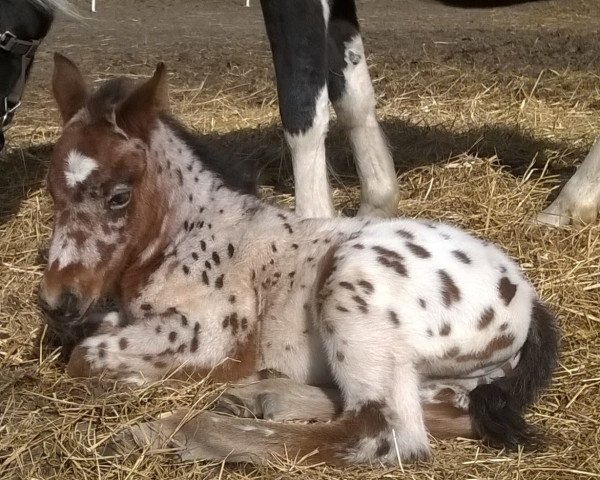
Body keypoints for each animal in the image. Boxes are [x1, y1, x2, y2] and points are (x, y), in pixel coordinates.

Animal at [39, 55, 560, 464]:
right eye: (51, 191)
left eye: (119, 196)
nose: (55, 299)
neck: (191, 233)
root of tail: (528, 299)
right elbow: (85, 334)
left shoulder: (209, 335)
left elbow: (85, 355)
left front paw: (129, 382)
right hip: (448, 374)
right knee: (451, 410)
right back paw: (262, 396)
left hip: (351, 287)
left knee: (385, 432)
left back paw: (181, 432)